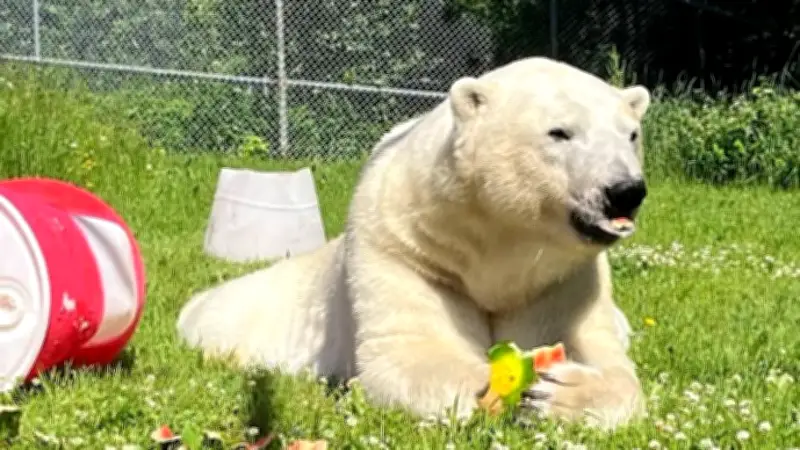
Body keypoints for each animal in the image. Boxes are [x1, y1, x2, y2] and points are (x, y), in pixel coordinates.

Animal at [176, 56, 652, 430]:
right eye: (559, 132)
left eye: (631, 135)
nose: (624, 191)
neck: (497, 246)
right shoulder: (406, 249)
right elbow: (406, 351)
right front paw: (488, 384)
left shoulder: (560, 278)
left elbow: (604, 359)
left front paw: (560, 391)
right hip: (240, 320)